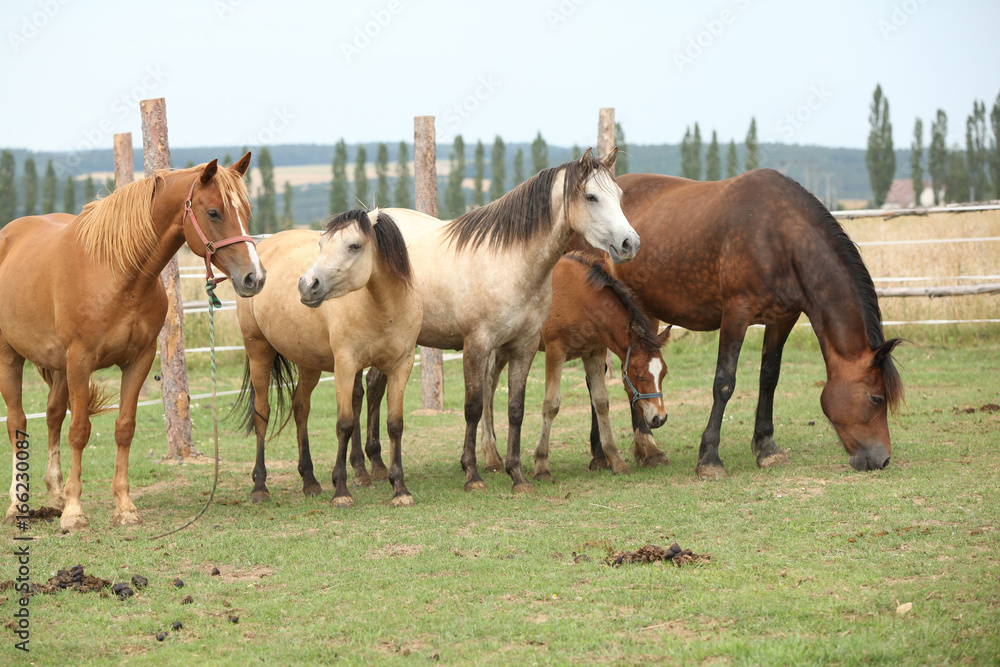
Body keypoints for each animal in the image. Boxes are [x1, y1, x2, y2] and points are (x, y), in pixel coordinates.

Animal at [0, 153, 264, 532]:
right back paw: (17, 503)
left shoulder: (138, 360)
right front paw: (74, 512)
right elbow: (79, 430)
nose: (254, 277)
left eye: (246, 210)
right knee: (17, 423)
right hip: (11, 356)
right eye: (214, 212)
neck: (117, 272)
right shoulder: (80, 361)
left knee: (52, 417)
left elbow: (124, 428)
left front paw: (123, 506)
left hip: (59, 368)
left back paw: (55, 494)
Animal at [364, 149, 636, 494]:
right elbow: (473, 407)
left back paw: (375, 464)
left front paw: (517, 474)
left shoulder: (524, 346)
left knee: (373, 385)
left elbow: (516, 410)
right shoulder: (477, 345)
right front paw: (472, 473)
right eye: (591, 197)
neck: (509, 263)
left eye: (620, 195)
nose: (630, 244)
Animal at [482, 254, 672, 480]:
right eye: (639, 375)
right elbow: (551, 404)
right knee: (486, 386)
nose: (659, 418)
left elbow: (601, 401)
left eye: (664, 374)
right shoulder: (555, 351)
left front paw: (616, 460)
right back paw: (491, 457)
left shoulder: (595, 353)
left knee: (491, 385)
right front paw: (541, 465)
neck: (580, 298)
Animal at [576, 170, 904, 478]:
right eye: (876, 398)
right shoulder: (736, 313)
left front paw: (767, 447)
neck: (779, 235)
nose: (883, 459)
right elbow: (724, 382)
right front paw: (709, 458)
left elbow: (769, 377)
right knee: (597, 378)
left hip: (642, 313)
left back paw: (645, 450)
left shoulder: (784, 318)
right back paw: (604, 453)